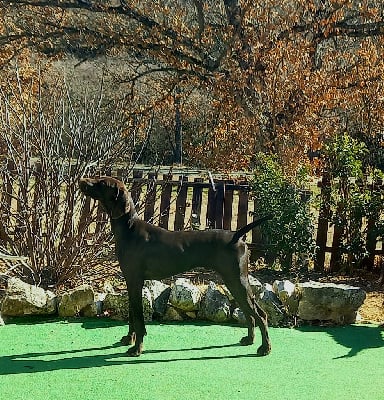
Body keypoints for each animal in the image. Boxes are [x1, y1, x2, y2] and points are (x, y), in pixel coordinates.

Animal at [79, 177, 270, 358]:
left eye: (102, 183)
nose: (82, 180)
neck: (128, 229)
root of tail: (236, 236)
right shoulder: (130, 281)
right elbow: (132, 315)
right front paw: (129, 339)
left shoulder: (135, 281)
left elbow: (139, 319)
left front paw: (137, 348)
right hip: (235, 283)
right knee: (250, 313)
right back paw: (250, 339)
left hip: (236, 281)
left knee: (260, 314)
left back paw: (265, 348)